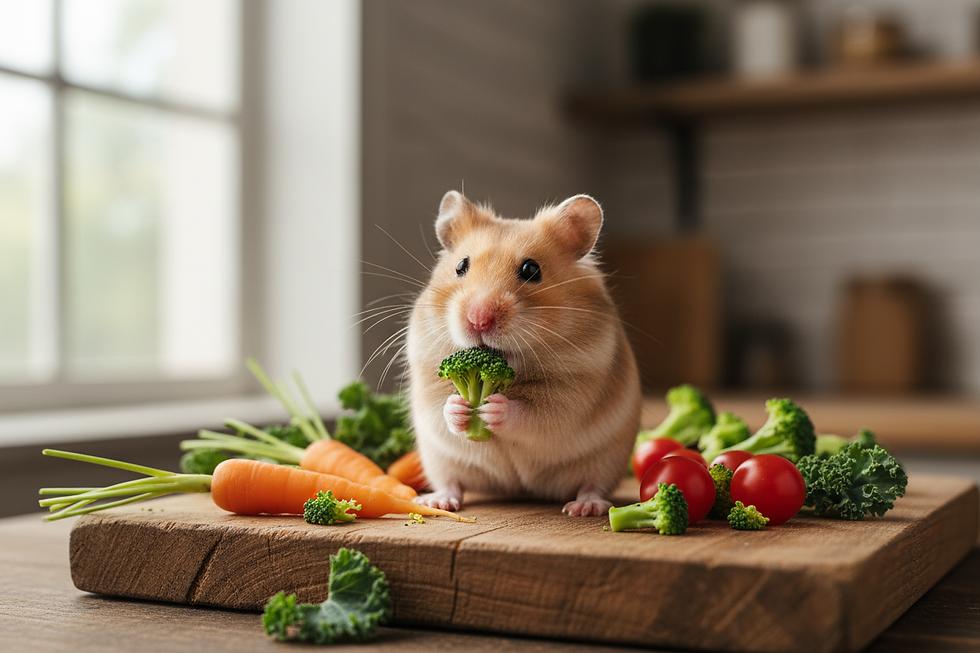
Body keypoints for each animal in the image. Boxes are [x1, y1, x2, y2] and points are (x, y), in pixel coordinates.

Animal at [406, 191, 641, 516]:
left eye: (531, 270)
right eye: (461, 265)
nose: (478, 320)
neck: (510, 369)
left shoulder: (576, 389)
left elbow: (534, 414)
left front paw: (493, 409)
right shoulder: (428, 370)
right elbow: (441, 408)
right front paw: (460, 408)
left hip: (605, 461)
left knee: (593, 485)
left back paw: (583, 507)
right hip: (438, 459)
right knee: (451, 482)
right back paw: (436, 501)